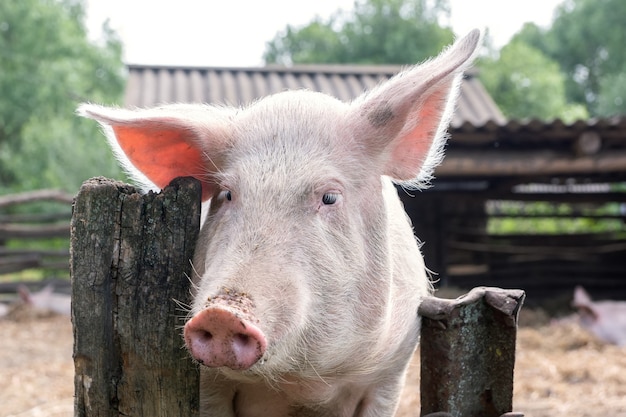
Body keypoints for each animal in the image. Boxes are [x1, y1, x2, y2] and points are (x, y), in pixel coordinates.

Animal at [77, 30, 478, 416]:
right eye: (227, 194)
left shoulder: (391, 373)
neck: (298, 384)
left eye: (329, 197)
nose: (222, 314)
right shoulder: (208, 383)